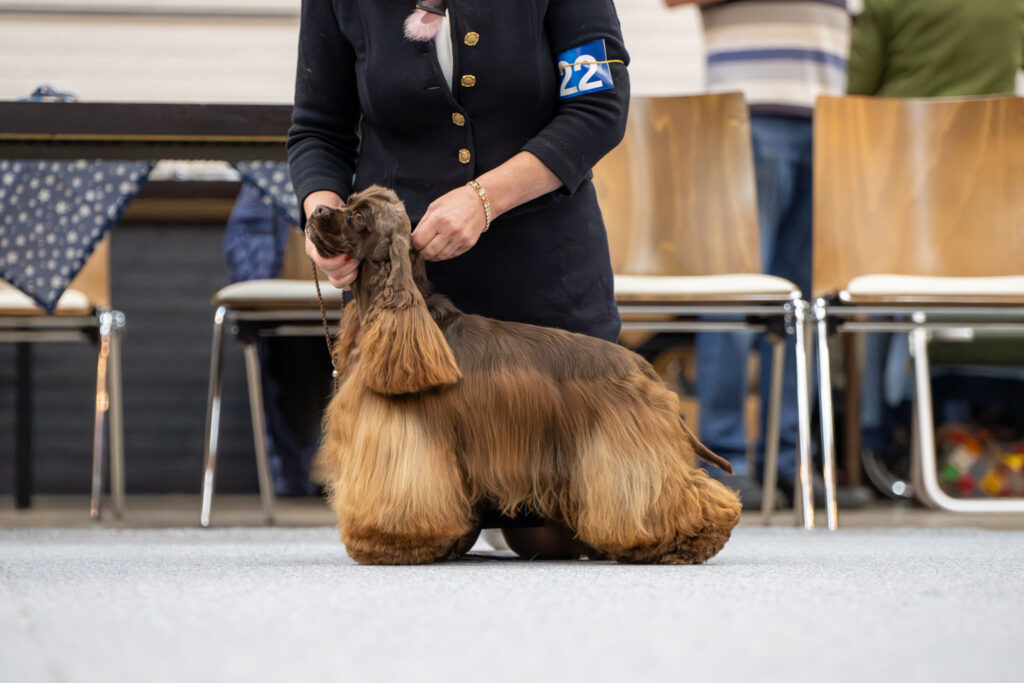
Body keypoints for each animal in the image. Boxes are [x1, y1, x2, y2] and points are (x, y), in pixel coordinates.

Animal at [305, 185, 741, 565]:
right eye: (346, 200)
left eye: (358, 216)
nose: (317, 209)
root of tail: (644, 368)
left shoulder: (405, 439)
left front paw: (388, 544)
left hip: (624, 453)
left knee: (676, 496)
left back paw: (688, 542)